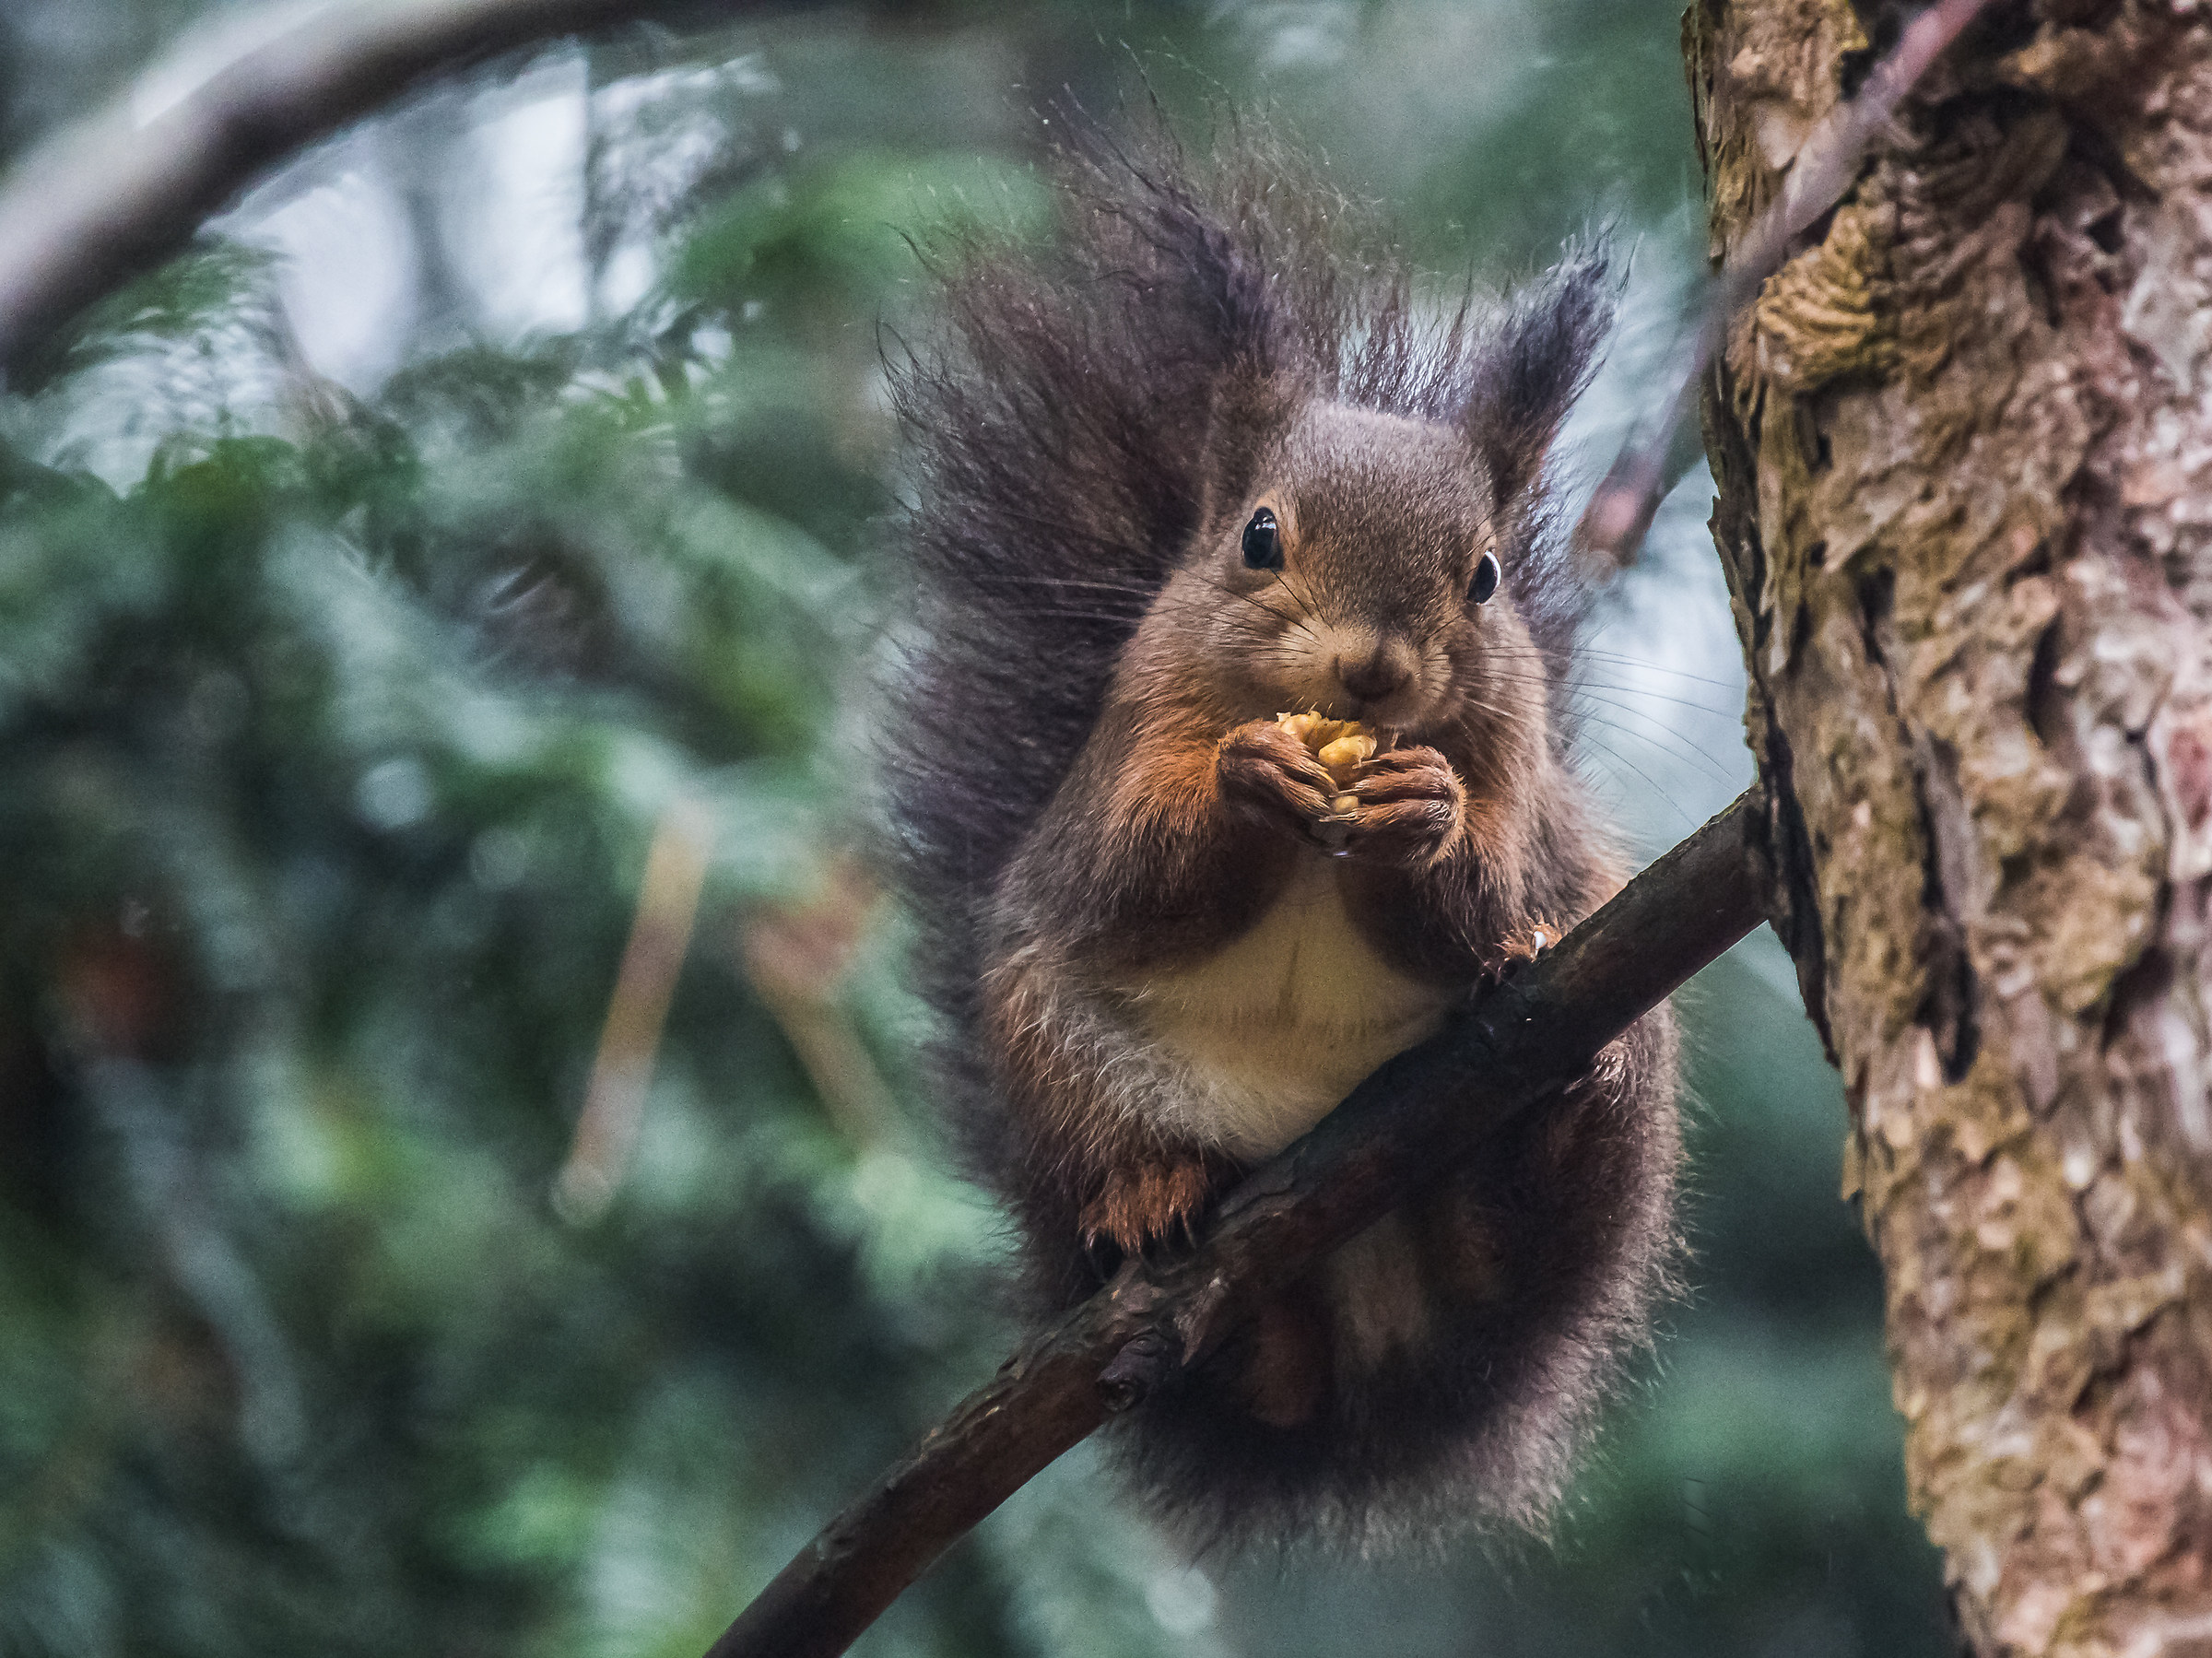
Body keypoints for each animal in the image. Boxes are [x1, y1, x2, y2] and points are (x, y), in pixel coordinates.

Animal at [881, 121, 1681, 1551]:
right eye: (1259, 535)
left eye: (1484, 574)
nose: (1370, 671)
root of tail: (1364, 1324)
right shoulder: (1118, 769)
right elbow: (1136, 876)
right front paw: (1246, 780)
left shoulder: (1525, 794)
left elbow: (1493, 890)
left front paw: (1427, 821)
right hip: (1056, 1056)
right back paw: (1151, 1207)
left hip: (1605, 1114)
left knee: (1533, 1234)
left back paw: (1548, 1117)